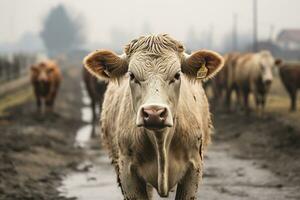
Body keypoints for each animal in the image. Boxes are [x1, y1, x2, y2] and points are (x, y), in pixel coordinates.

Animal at [83, 33, 224, 199]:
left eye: (177, 75)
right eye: (132, 75)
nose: (154, 113)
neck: (160, 140)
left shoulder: (194, 170)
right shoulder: (127, 174)